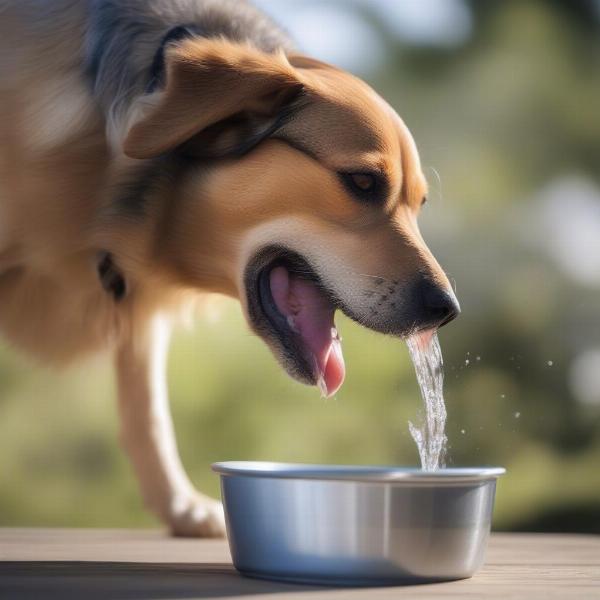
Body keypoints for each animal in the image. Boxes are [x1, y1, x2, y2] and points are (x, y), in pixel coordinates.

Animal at [0, 0, 460, 536]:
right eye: (362, 181)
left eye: (419, 204)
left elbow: (147, 411)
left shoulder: (141, 312)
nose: (447, 310)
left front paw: (178, 506)